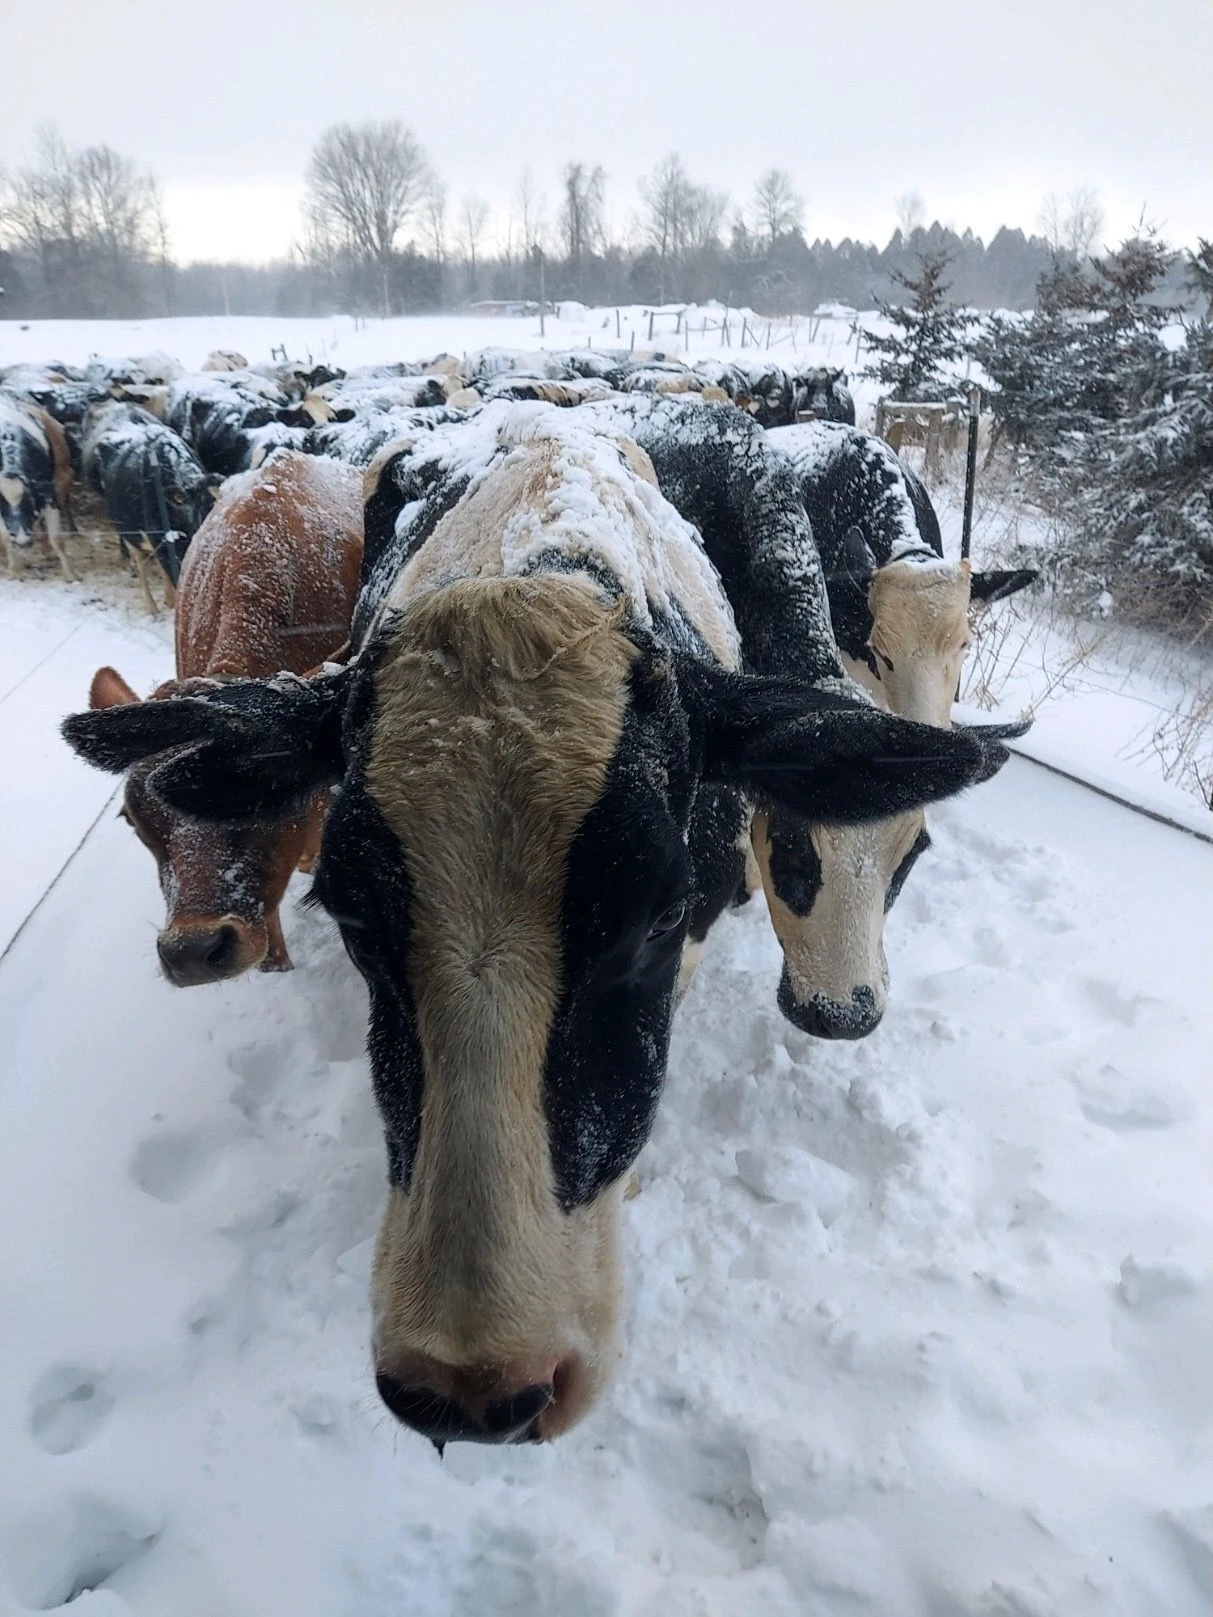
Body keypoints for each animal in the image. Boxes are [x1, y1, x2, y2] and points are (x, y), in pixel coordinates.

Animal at [0, 393, 77, 579]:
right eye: (1, 504)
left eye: (28, 502)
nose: (22, 540)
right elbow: (5, 537)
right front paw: (13, 568)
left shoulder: (49, 493)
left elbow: (56, 538)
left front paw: (70, 574)